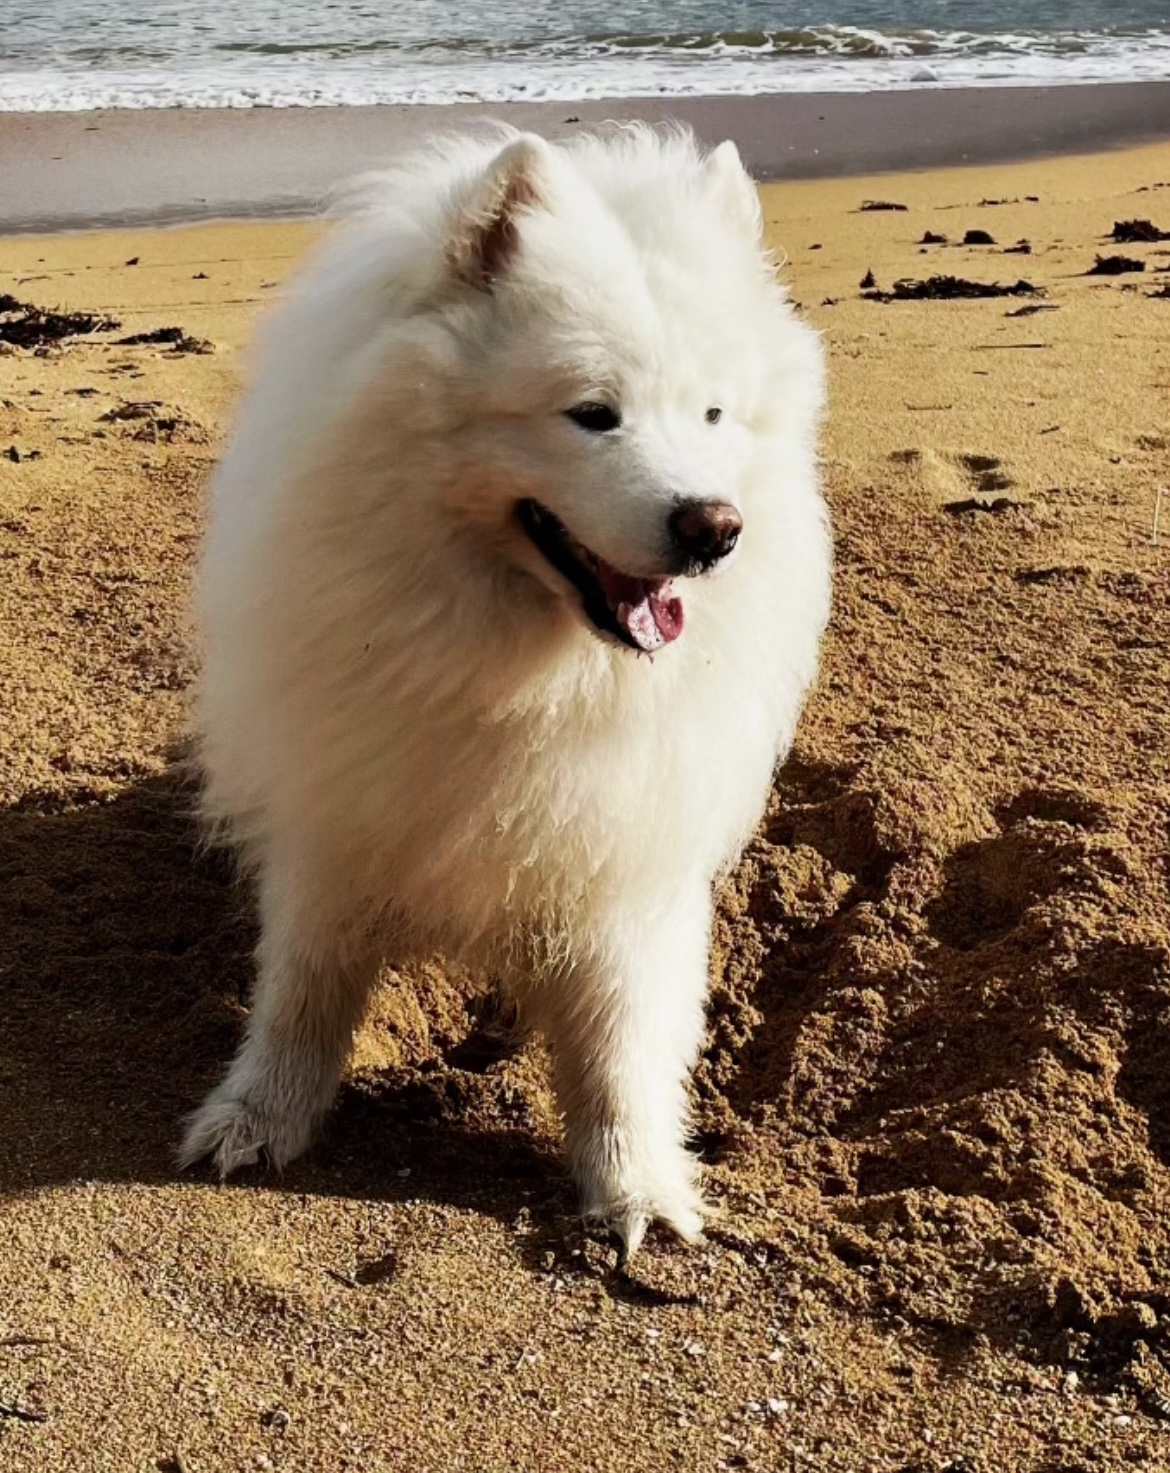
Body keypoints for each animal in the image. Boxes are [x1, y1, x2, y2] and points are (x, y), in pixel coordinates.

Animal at [182, 123, 831, 1254]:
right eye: (592, 415)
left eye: (713, 413)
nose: (713, 528)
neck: (527, 674)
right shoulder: (340, 823)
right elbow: (305, 990)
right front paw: (257, 1119)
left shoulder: (626, 858)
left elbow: (621, 1042)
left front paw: (637, 1190)